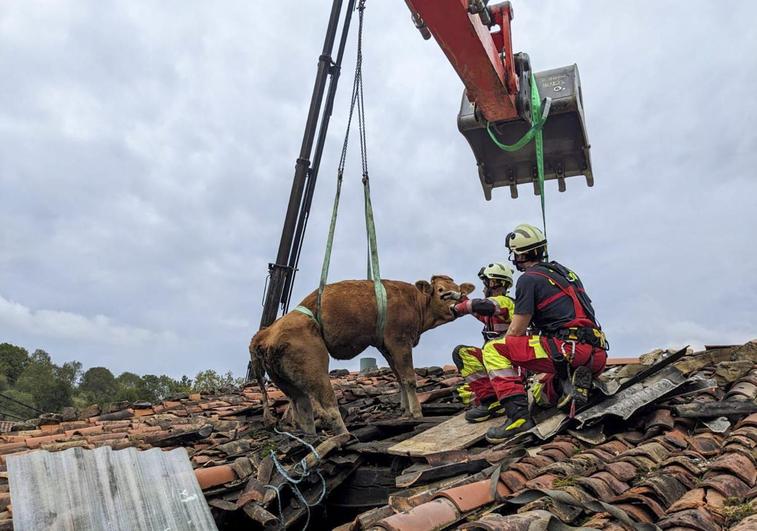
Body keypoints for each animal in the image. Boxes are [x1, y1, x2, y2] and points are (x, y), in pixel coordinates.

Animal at [248, 276, 472, 434]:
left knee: (303, 412)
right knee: (329, 407)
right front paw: (416, 413)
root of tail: (265, 334)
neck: (416, 302)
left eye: (460, 289)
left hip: (287, 382)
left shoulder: (386, 346)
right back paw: (344, 436)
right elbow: (408, 379)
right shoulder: (399, 340)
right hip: (315, 369)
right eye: (441, 290)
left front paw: (406, 410)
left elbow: (399, 377)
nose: (459, 303)